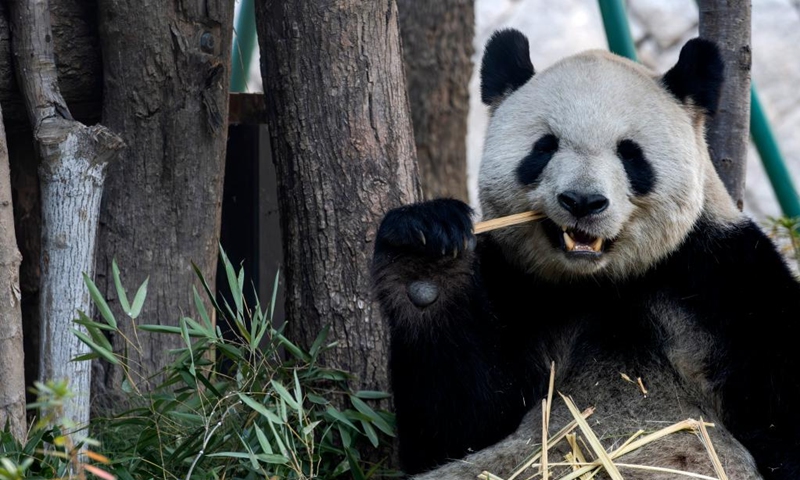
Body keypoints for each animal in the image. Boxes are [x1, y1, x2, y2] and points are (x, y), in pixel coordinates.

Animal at [371, 29, 800, 480]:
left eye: (630, 152)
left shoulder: (724, 284)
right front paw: (424, 253)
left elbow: (781, 404)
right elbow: (458, 424)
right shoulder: (515, 286)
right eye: (544, 147)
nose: (582, 201)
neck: (601, 283)